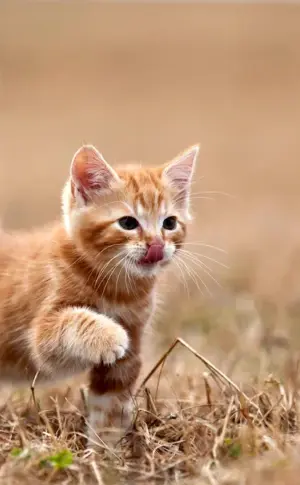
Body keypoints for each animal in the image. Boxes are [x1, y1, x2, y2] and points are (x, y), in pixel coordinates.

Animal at [0, 145, 199, 442]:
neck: (117, 288)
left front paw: (105, 451)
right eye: (127, 223)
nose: (156, 244)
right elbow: (73, 321)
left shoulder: (128, 355)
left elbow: (111, 409)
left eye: (170, 223)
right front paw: (109, 334)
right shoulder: (42, 338)